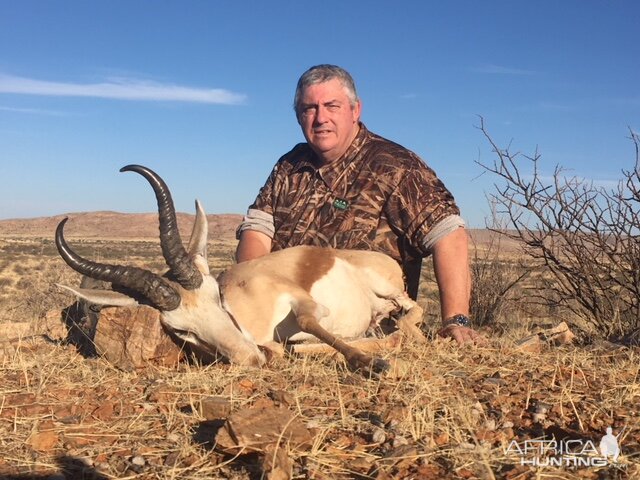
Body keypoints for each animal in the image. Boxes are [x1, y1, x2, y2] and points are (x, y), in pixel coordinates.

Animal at [55, 167, 424, 374]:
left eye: (217, 296)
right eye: (181, 330)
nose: (249, 358)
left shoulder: (305, 302)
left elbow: (307, 321)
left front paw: (373, 365)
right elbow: (287, 347)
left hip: (386, 287)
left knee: (412, 312)